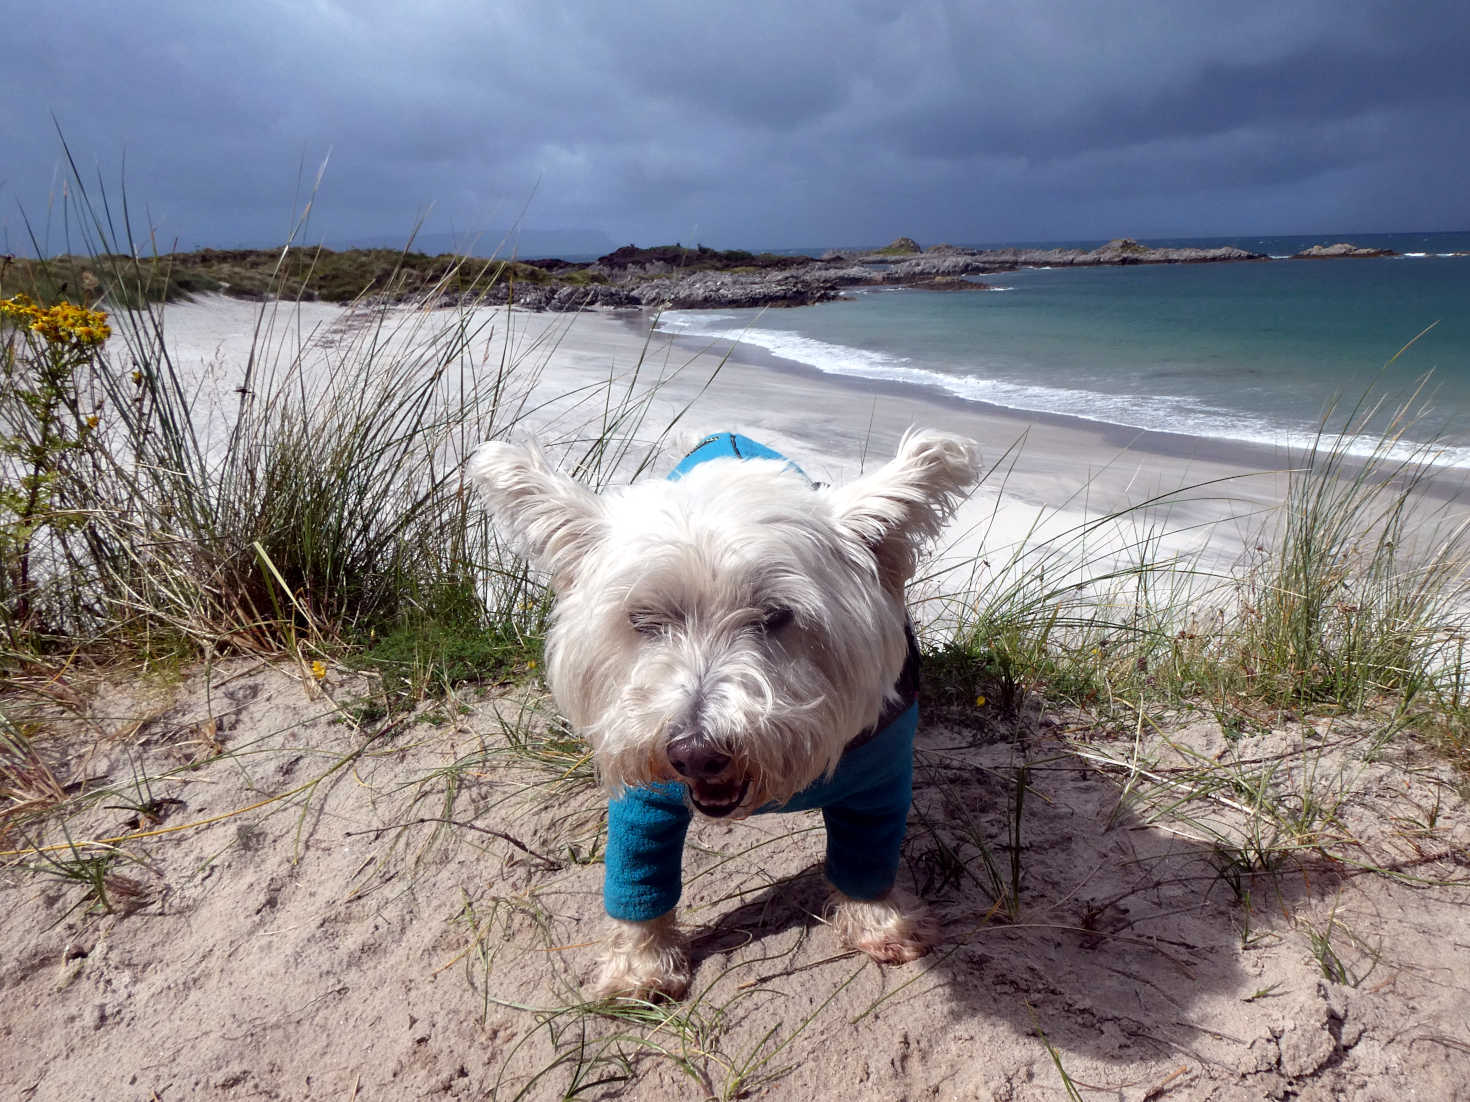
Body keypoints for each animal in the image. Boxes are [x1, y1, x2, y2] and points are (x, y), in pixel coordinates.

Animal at [470, 431, 976, 999]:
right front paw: (641, 964)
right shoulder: (644, 790)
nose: (695, 754)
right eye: (643, 619)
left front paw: (880, 922)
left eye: (777, 615)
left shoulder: (877, 781)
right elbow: (637, 874)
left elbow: (869, 857)